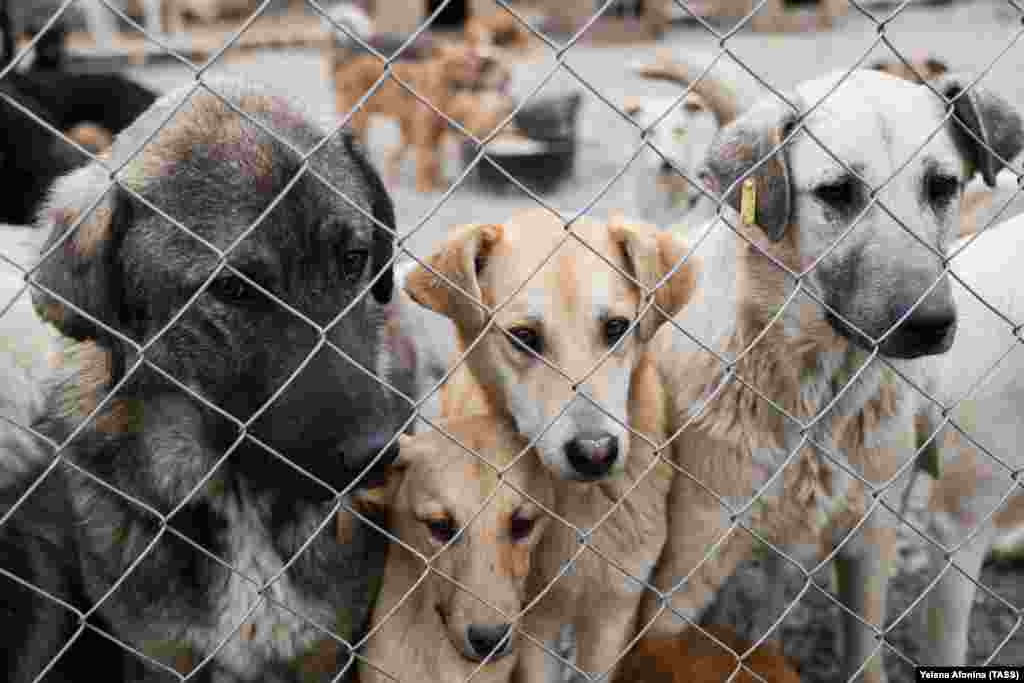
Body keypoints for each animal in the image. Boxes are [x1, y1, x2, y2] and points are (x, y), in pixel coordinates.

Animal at [403, 208, 700, 683]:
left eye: (616, 328)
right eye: (524, 336)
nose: (595, 453)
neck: (576, 507)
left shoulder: (613, 613)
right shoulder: (532, 625)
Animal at [638, 65, 1024, 683]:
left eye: (942, 186)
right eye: (837, 193)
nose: (930, 325)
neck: (817, 396)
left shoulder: (869, 543)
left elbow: (864, 660)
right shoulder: (679, 578)